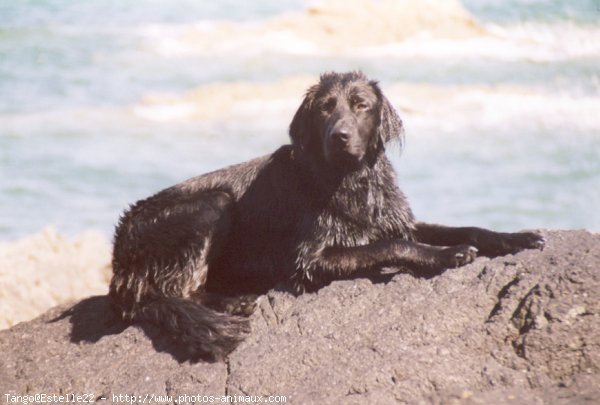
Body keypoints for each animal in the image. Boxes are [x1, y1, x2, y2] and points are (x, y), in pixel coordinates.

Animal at [108, 71, 544, 362]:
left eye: (361, 106)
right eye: (324, 109)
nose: (340, 136)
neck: (351, 179)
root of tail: (120, 256)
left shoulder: (397, 217)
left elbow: (463, 227)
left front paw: (517, 238)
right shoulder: (310, 261)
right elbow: (392, 245)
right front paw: (446, 254)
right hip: (212, 203)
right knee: (175, 291)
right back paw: (234, 303)